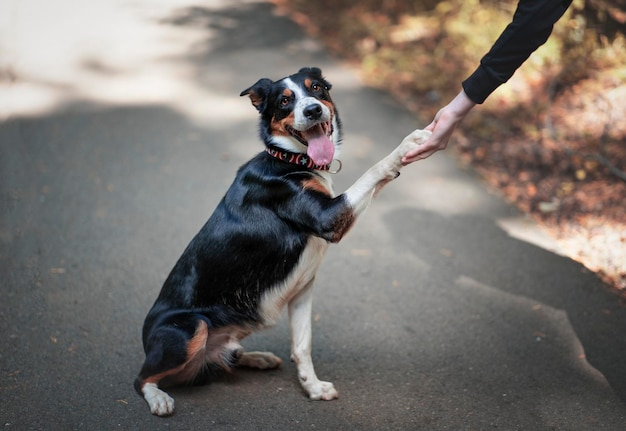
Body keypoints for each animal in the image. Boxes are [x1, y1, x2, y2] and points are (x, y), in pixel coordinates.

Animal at [135, 66, 428, 416]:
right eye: (285, 102)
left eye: (316, 89)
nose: (312, 110)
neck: (290, 160)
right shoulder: (330, 217)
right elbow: (374, 169)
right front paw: (407, 145)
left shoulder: (303, 287)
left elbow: (302, 345)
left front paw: (312, 387)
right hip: (191, 328)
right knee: (142, 378)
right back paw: (158, 398)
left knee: (222, 357)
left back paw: (256, 357)